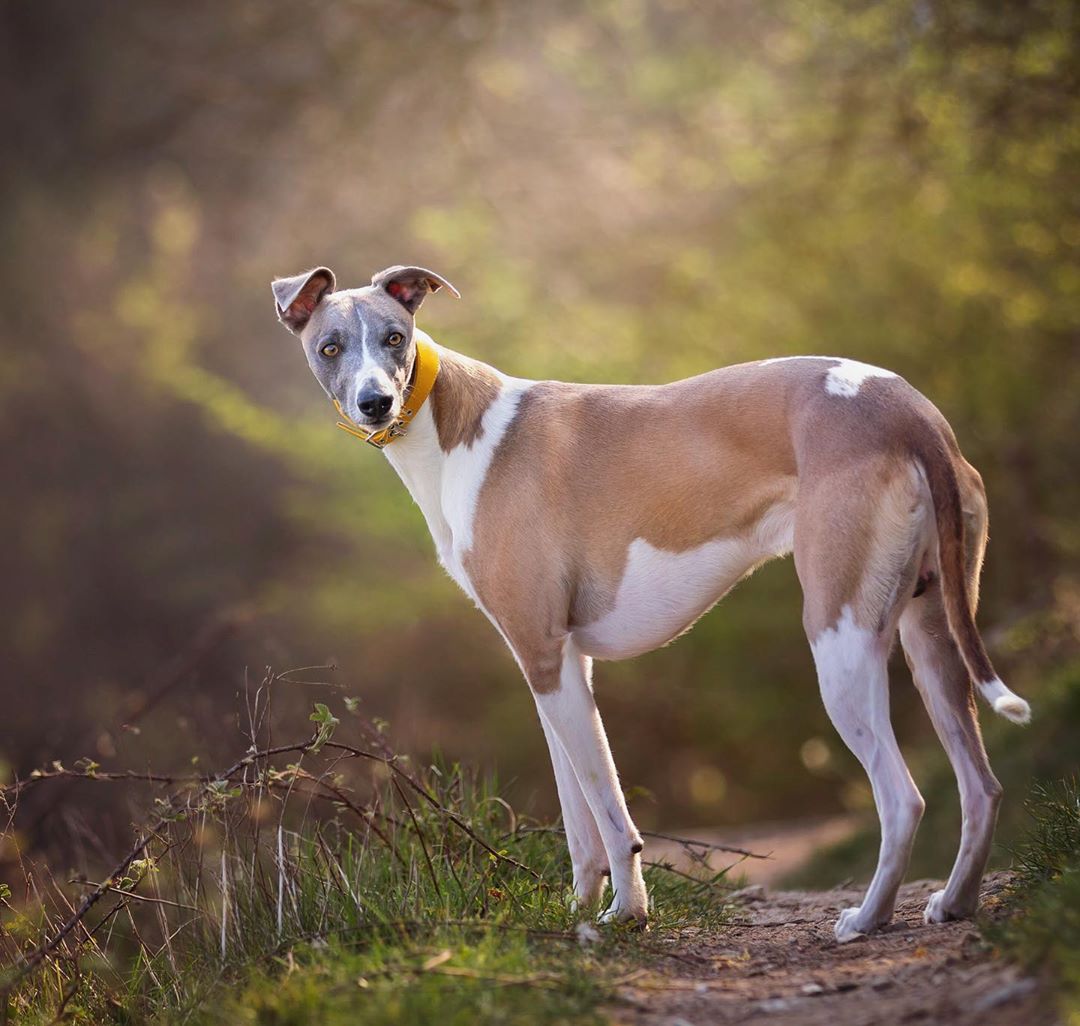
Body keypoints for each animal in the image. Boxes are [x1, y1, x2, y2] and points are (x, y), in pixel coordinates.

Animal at [272, 263, 1030, 939]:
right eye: (331, 347)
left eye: (395, 337)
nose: (375, 403)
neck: (460, 431)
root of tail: (908, 409)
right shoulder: (553, 663)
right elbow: (577, 815)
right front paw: (579, 910)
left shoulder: (545, 657)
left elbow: (609, 814)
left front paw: (626, 915)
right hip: (932, 636)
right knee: (982, 786)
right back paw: (955, 902)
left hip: (840, 643)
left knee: (902, 798)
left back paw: (867, 919)